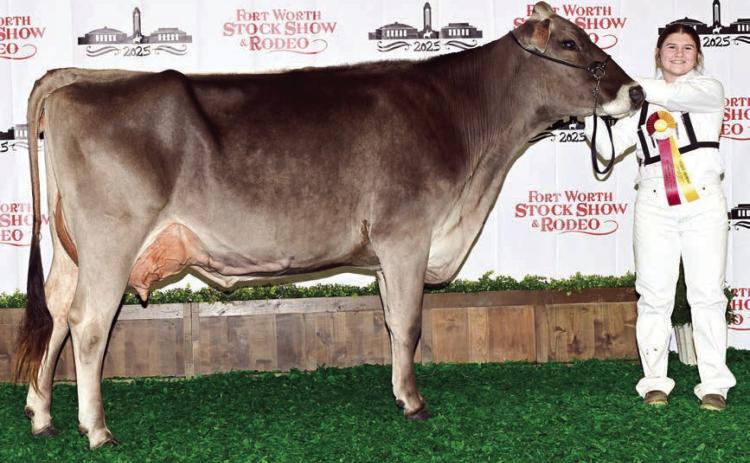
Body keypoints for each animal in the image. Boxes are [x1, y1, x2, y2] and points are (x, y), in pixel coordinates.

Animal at [15, 2, 643, 449]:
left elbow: (392, 323)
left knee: (57, 313)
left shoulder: (390, 253)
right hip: (111, 241)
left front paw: (399, 393)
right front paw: (415, 404)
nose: (635, 91)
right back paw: (96, 429)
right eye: (570, 42)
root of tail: (78, 79)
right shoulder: (406, 236)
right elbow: (410, 325)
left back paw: (42, 414)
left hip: (73, 250)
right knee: (88, 323)